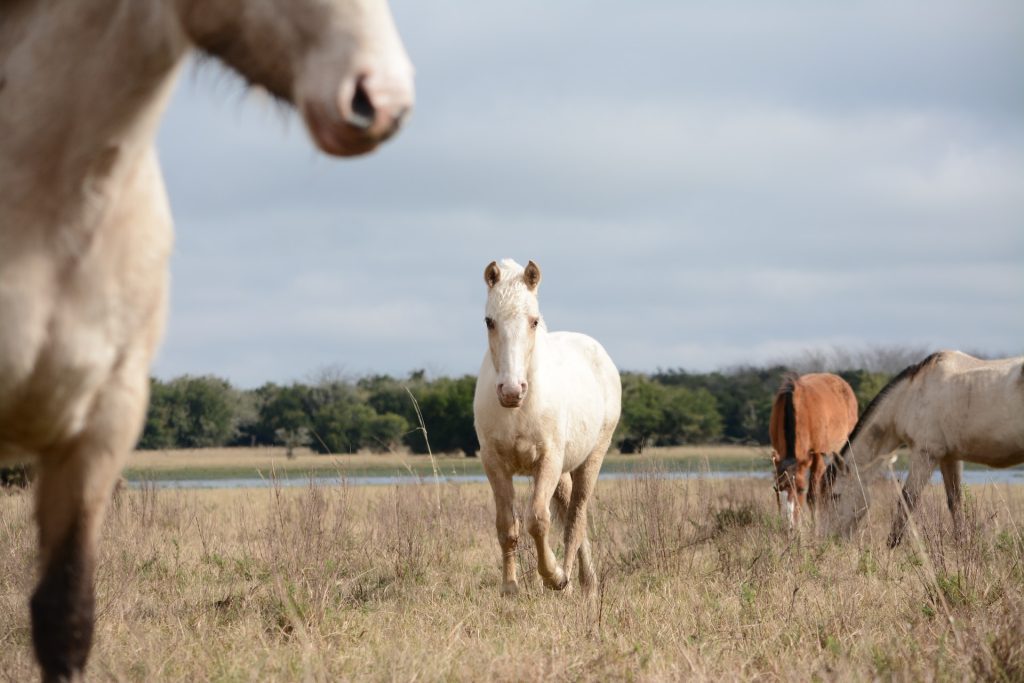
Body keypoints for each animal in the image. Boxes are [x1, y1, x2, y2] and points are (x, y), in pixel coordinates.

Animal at [473, 259, 621, 596]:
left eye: (534, 321)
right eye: (489, 321)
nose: (511, 391)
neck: (518, 410)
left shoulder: (548, 460)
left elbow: (538, 520)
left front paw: (552, 576)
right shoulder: (494, 463)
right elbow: (507, 526)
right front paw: (510, 588)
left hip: (591, 459)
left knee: (575, 519)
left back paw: (572, 582)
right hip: (565, 471)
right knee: (570, 516)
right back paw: (579, 583)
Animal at [769, 373, 858, 528]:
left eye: (800, 489)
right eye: (778, 488)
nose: (790, 527)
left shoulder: (818, 457)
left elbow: (812, 497)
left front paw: (814, 529)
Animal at [823, 351, 1024, 547]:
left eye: (835, 496)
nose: (828, 540)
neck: (909, 397)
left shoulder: (925, 454)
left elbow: (907, 500)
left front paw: (891, 548)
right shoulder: (949, 457)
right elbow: (955, 502)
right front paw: (963, 547)